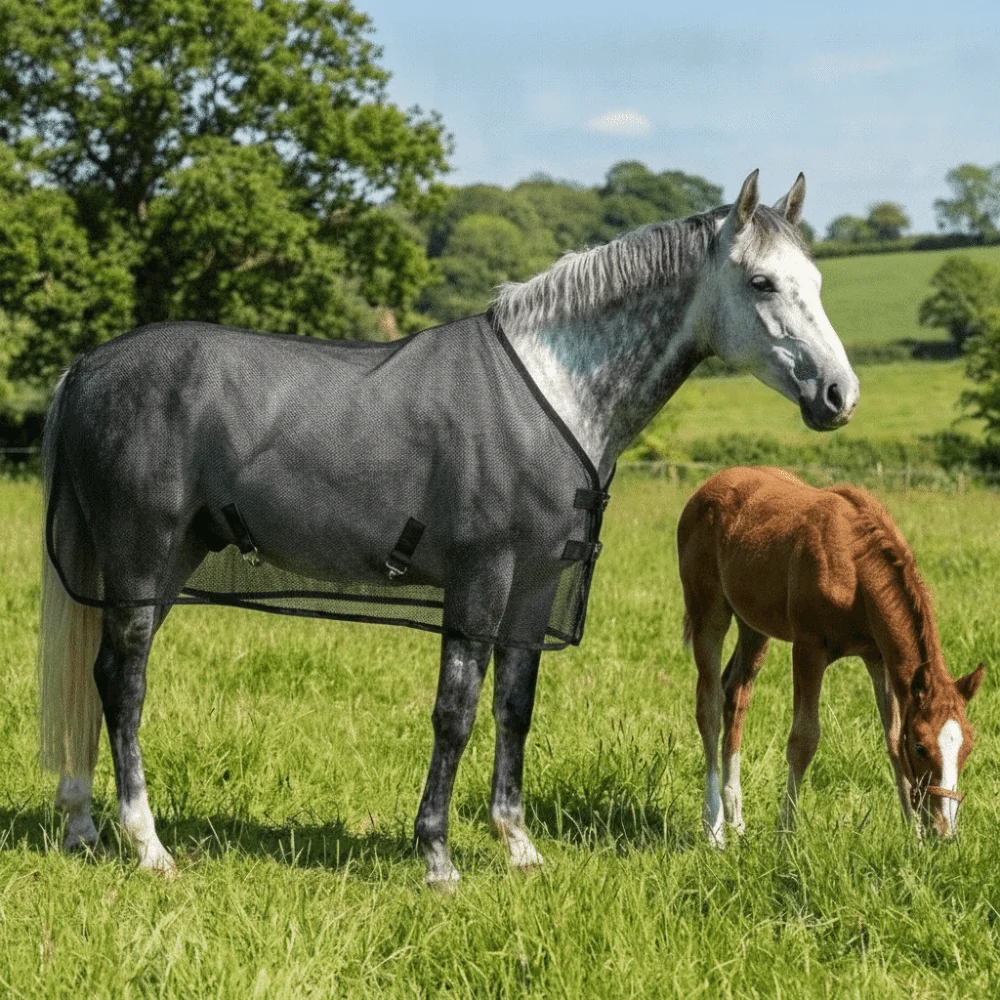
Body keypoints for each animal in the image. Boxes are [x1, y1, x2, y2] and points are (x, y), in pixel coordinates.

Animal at [39, 171, 859, 886]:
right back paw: (147, 844)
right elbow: (455, 713)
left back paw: (82, 827)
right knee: (125, 683)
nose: (838, 394)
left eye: (819, 283)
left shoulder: (535, 588)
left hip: (164, 563)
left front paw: (518, 845)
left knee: (98, 675)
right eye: (762, 282)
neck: (551, 392)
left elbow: (514, 709)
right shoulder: (480, 579)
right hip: (141, 560)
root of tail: (86, 369)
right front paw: (437, 856)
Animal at [677, 466, 985, 846]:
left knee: (735, 696)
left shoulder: (878, 659)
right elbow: (803, 739)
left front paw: (913, 837)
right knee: (709, 705)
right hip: (709, 613)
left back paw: (736, 821)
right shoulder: (809, 648)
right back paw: (715, 829)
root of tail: (709, 486)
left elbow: (892, 739)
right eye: (921, 748)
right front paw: (786, 835)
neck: (854, 567)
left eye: (967, 747)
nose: (944, 831)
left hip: (753, 626)